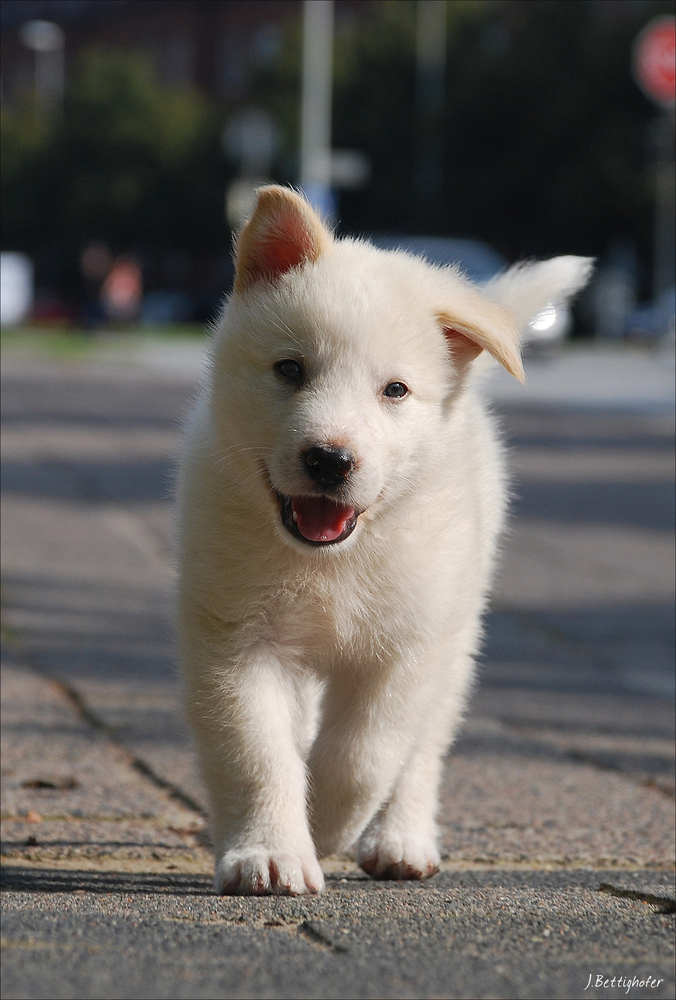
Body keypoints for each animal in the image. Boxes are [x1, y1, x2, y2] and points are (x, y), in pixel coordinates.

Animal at [176, 184, 592, 896]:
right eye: (290, 369)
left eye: (395, 390)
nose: (329, 460)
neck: (331, 561)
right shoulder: (236, 640)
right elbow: (258, 752)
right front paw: (271, 852)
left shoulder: (407, 648)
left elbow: (364, 754)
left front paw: (327, 826)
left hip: (457, 638)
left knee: (422, 751)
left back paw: (401, 840)